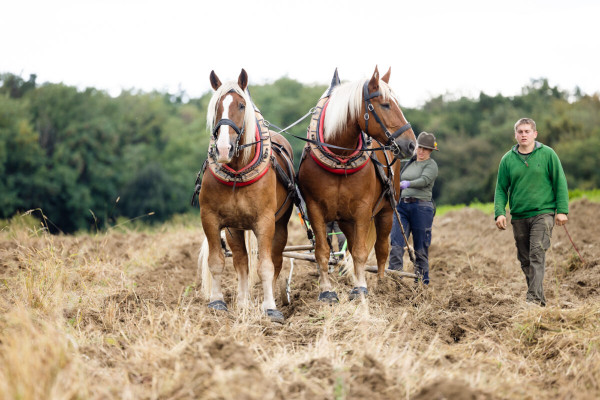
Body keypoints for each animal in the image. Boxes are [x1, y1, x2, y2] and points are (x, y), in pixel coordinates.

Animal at [296, 67, 418, 302]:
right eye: (385, 104)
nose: (411, 144)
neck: (340, 156)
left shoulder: (363, 209)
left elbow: (362, 252)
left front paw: (361, 289)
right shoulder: (315, 208)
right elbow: (322, 252)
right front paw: (327, 291)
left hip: (386, 209)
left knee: (381, 248)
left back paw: (381, 284)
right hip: (345, 218)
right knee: (351, 247)